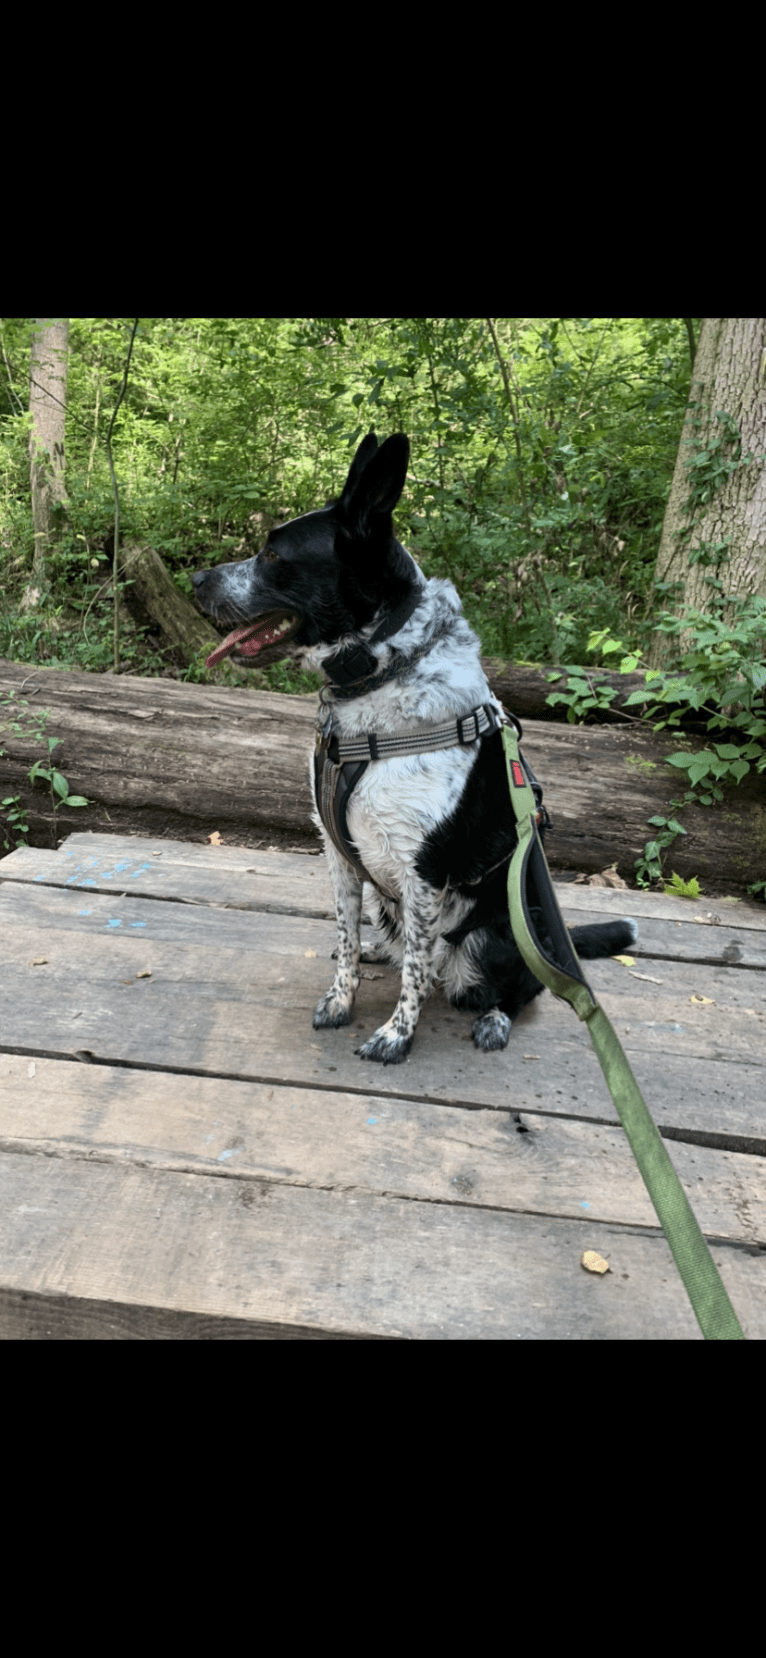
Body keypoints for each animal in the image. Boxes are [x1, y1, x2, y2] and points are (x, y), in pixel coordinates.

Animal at [191, 434, 633, 1067]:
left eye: (273, 555)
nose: (195, 579)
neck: (378, 675)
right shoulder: (338, 856)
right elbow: (347, 938)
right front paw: (341, 1000)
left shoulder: (421, 873)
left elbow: (417, 975)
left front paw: (396, 1035)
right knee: (399, 947)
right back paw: (383, 950)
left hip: (491, 941)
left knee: (520, 989)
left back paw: (493, 1020)